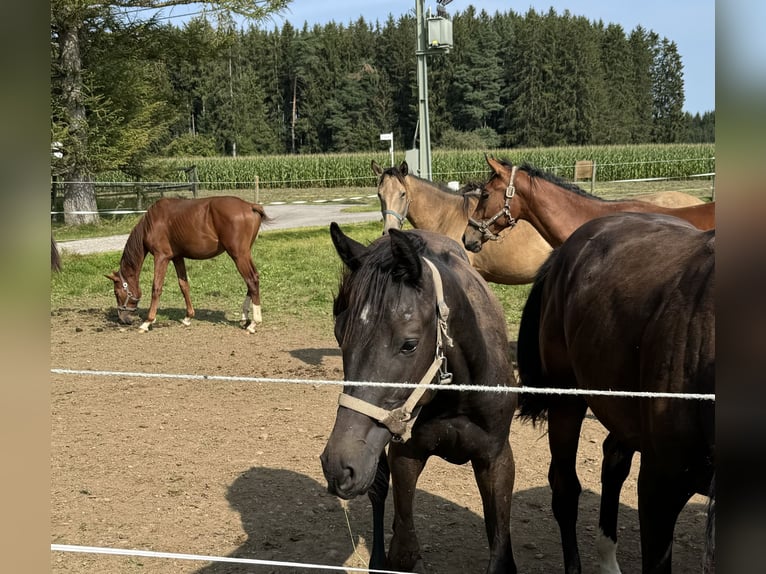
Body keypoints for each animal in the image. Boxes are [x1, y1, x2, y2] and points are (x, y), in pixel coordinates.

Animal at [106, 197, 270, 332]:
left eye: (116, 292)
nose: (123, 319)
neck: (152, 222)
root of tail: (250, 206)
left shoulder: (161, 257)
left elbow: (156, 288)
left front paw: (147, 322)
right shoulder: (177, 257)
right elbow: (184, 285)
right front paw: (188, 317)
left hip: (238, 255)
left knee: (251, 280)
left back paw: (254, 323)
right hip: (245, 254)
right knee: (254, 279)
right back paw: (245, 318)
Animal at [318, 225, 520, 574]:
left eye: (409, 344)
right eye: (339, 335)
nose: (338, 465)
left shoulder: (496, 459)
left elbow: (499, 548)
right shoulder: (404, 455)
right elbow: (404, 550)